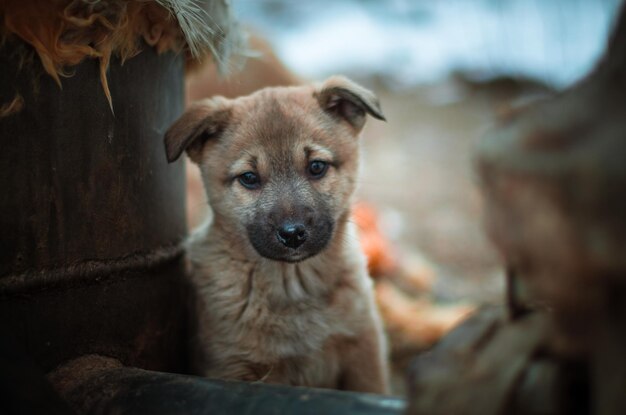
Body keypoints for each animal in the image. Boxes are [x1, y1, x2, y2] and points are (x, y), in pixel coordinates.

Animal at [165, 76, 390, 394]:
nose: (293, 235)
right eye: (249, 178)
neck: (294, 284)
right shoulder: (233, 366)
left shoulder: (364, 350)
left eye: (316, 166)